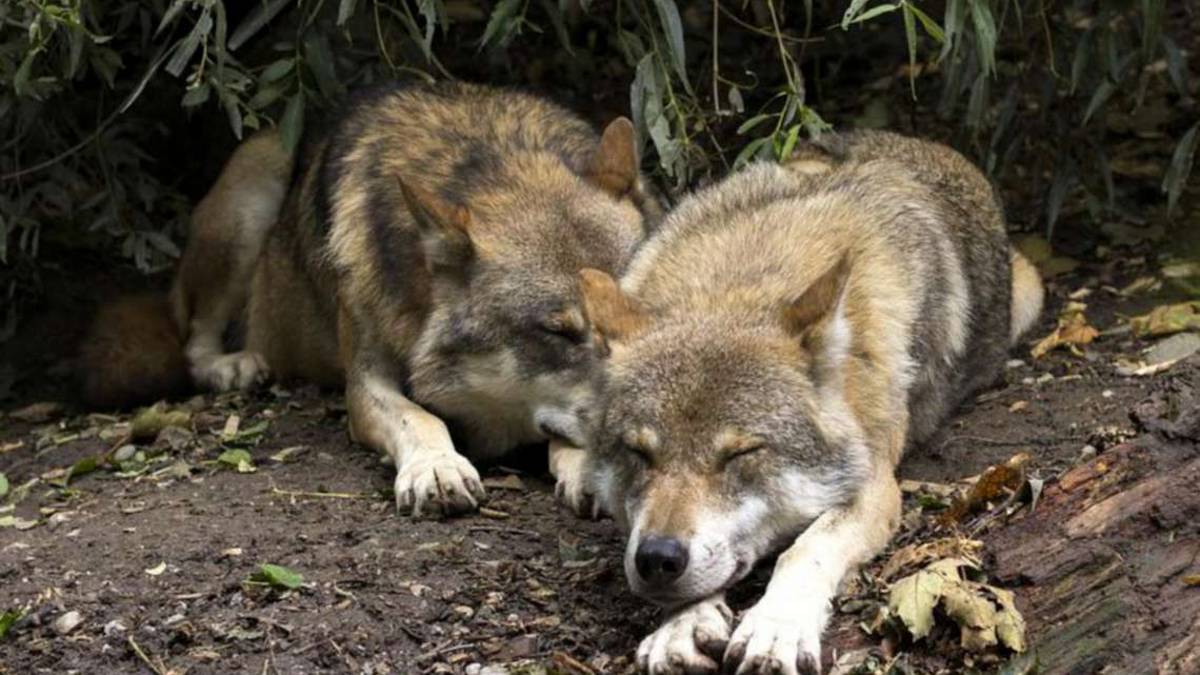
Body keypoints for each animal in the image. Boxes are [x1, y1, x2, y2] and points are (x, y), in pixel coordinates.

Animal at [81, 82, 661, 516]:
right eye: (559, 332)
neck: (487, 161)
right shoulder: (364, 385)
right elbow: (420, 418)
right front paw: (436, 468)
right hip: (254, 186)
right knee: (192, 341)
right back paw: (234, 366)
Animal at [572, 130, 1044, 673]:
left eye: (741, 453)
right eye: (638, 452)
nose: (657, 558)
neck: (742, 279)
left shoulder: (874, 485)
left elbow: (804, 549)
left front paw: (775, 626)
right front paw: (680, 627)